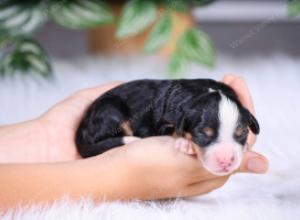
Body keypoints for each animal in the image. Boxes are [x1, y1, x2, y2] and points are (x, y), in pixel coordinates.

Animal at [75, 79, 260, 175]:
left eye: (241, 133)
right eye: (202, 134)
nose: (226, 161)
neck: (201, 93)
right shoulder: (163, 123)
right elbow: (174, 131)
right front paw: (185, 143)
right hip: (111, 110)